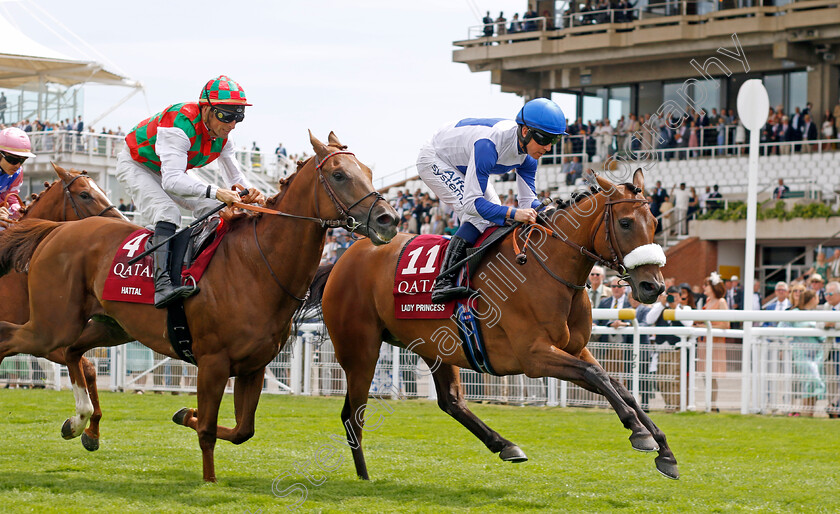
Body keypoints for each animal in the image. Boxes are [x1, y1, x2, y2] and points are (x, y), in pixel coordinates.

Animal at [0, 163, 124, 448]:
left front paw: (91, 429)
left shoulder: (44, 337)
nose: (120, 223)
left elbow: (87, 367)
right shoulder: (39, 336)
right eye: (85, 195)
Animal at [306, 169, 680, 480]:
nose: (653, 286)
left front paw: (664, 449)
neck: (547, 268)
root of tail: (343, 257)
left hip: (434, 346)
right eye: (626, 223)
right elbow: (599, 377)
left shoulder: (575, 348)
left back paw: (505, 446)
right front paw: (639, 433)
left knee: (451, 402)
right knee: (352, 414)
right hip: (360, 349)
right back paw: (364, 476)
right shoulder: (534, 356)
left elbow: (618, 385)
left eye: (655, 221)